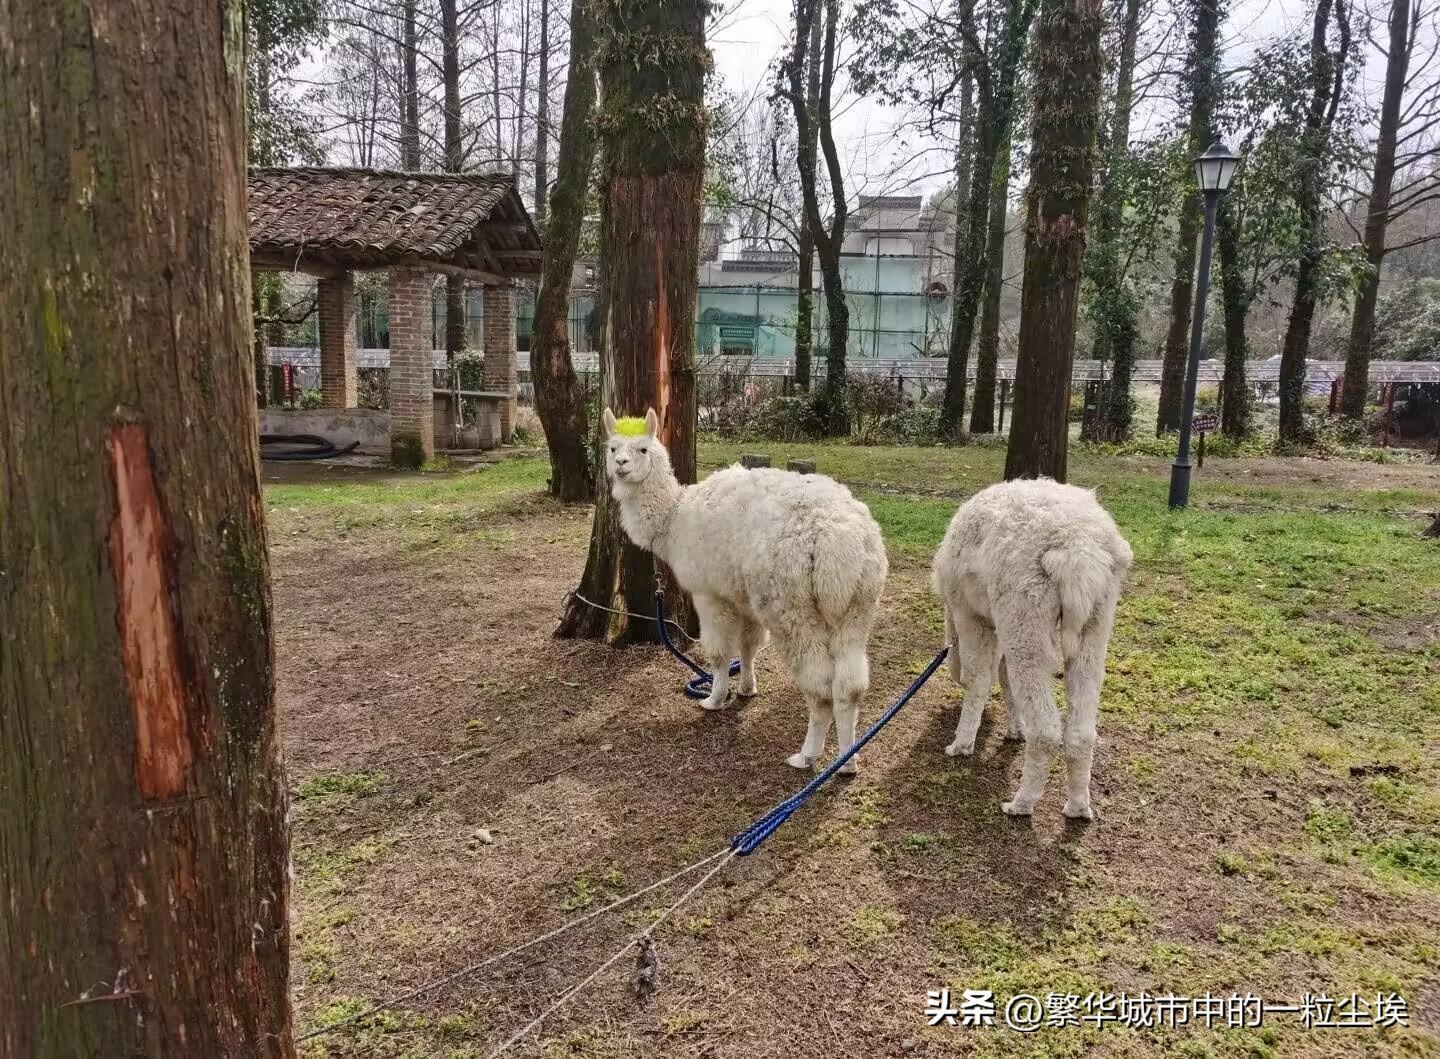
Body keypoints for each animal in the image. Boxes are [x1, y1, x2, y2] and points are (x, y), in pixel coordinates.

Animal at [602, 408, 888, 773]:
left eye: (642, 449)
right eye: (612, 447)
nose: (621, 465)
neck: (675, 517)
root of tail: (840, 539)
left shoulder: (710, 593)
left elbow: (719, 652)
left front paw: (713, 699)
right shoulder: (742, 598)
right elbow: (748, 646)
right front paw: (747, 689)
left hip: (790, 605)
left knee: (820, 686)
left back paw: (806, 755)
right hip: (858, 605)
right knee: (849, 685)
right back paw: (847, 761)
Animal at [931, 478, 1132, 819]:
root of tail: (1077, 551)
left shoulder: (970, 615)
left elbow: (978, 678)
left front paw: (961, 745)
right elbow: (1005, 679)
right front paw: (1015, 730)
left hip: (1025, 616)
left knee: (1047, 728)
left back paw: (1021, 804)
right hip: (1095, 626)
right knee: (1081, 732)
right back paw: (1078, 807)